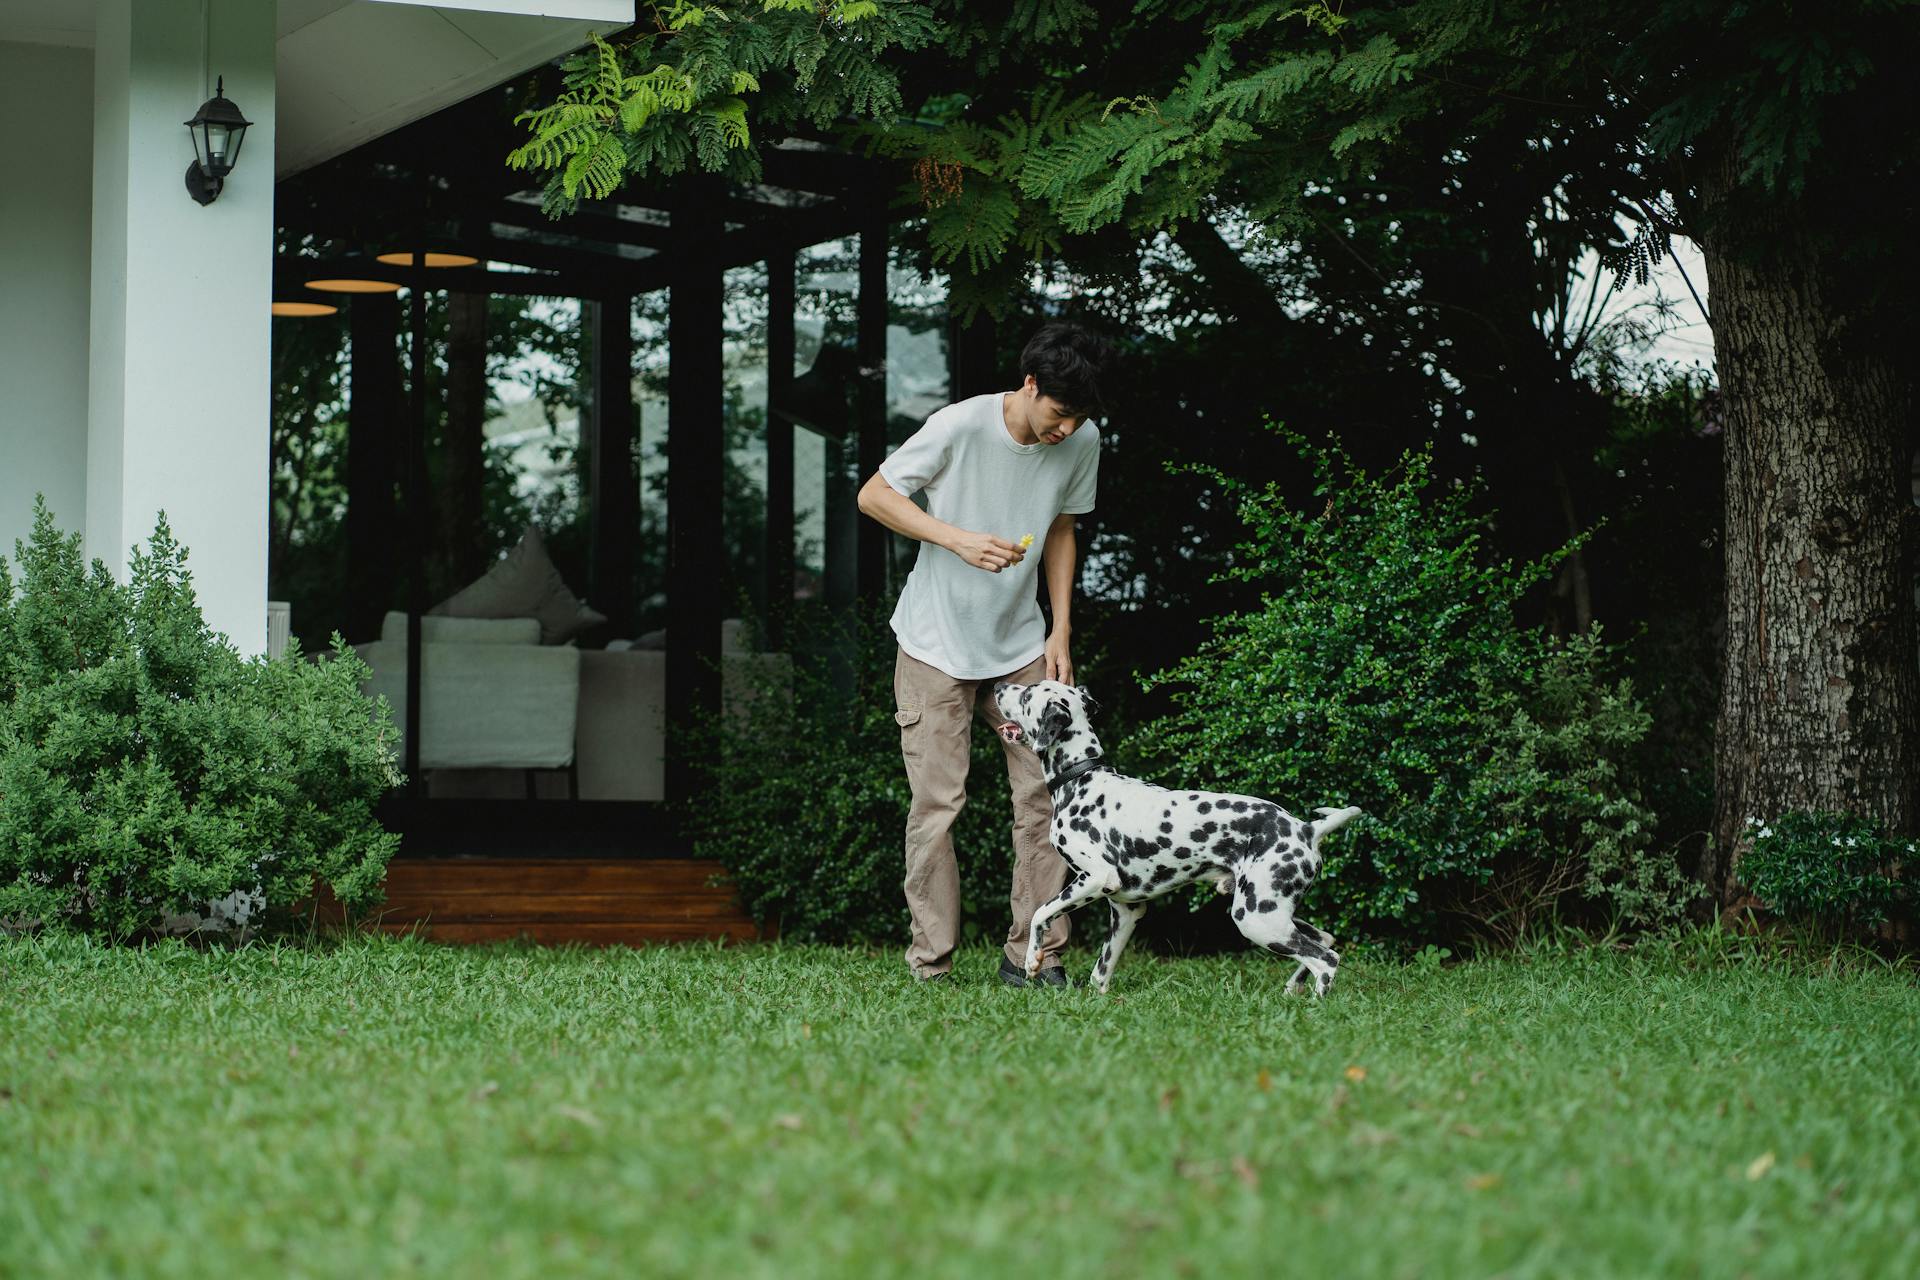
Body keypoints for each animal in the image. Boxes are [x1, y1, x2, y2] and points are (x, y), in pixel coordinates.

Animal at [998, 675, 1359, 997]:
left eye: (1028, 693)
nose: (998, 686)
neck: (1082, 779)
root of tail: (1306, 829)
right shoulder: (1126, 911)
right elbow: (1100, 973)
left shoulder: (1097, 878)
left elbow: (1040, 913)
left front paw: (1032, 959)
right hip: (1275, 914)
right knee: (1324, 941)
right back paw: (1291, 990)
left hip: (1257, 919)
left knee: (1326, 959)